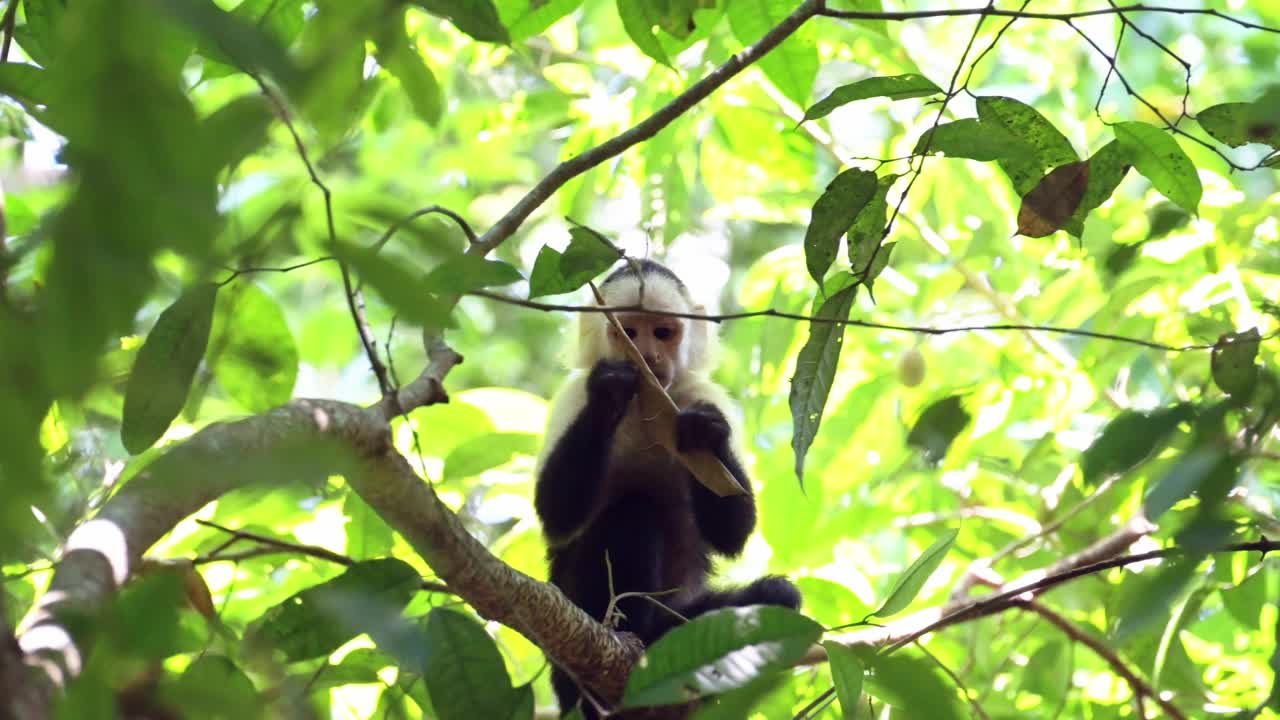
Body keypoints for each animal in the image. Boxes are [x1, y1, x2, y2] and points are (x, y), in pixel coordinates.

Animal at [532, 256, 798, 712]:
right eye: (628, 331)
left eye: (662, 332)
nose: (648, 356)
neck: (646, 407)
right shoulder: (573, 397)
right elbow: (557, 516)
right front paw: (610, 393)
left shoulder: (696, 393)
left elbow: (734, 530)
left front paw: (705, 433)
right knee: (634, 510)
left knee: (779, 598)